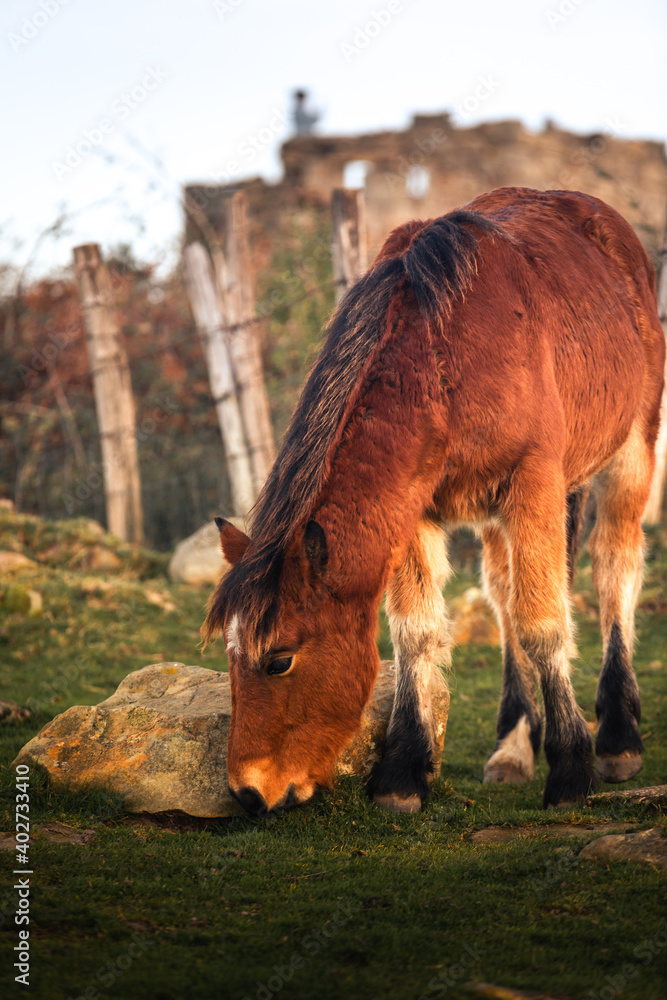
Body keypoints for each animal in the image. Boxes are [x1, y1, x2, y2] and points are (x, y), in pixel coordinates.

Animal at [206, 186, 664, 812]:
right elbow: (417, 631)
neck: (444, 358)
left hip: (630, 451)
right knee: (504, 594)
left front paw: (572, 770)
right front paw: (402, 772)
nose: (247, 792)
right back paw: (515, 745)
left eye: (279, 660)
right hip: (502, 515)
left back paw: (617, 738)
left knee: (614, 566)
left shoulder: (533, 484)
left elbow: (543, 622)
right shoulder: (414, 512)